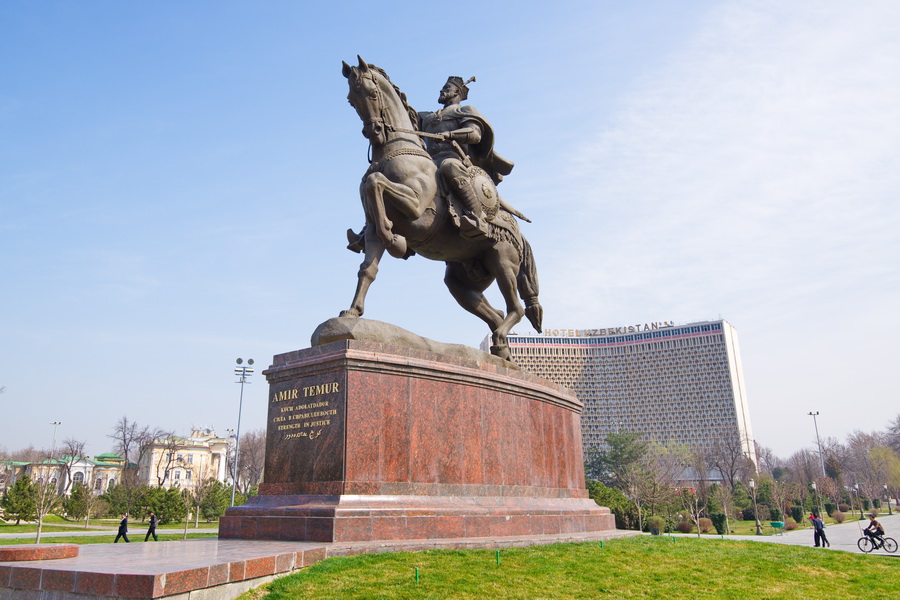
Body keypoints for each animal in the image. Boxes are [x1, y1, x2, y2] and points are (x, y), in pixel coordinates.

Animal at [342, 56, 540, 358]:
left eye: (372, 93)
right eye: (352, 99)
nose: (373, 131)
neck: (393, 154)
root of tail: (519, 233)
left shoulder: (415, 209)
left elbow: (376, 183)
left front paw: (396, 241)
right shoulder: (373, 228)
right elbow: (367, 269)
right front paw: (352, 312)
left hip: (502, 261)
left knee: (514, 307)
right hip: (462, 279)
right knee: (494, 313)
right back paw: (503, 353)